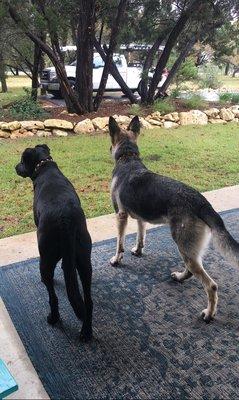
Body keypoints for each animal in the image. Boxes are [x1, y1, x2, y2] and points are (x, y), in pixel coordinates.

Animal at [15, 145, 92, 342]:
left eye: (22, 160)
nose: (15, 167)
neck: (44, 166)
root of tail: (66, 219)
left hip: (45, 258)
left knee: (52, 294)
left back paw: (54, 318)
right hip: (84, 258)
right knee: (88, 300)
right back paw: (86, 332)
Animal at [109, 115, 239, 322]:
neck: (128, 157)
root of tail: (201, 202)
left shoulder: (120, 216)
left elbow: (119, 244)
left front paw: (116, 260)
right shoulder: (140, 218)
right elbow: (140, 236)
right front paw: (138, 250)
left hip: (183, 244)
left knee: (211, 285)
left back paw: (209, 314)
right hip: (189, 248)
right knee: (192, 270)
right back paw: (180, 277)